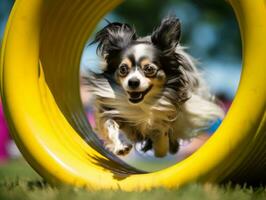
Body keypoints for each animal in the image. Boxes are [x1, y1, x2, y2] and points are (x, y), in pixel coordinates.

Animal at [84, 15, 224, 157]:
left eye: (149, 69)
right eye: (123, 69)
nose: (133, 82)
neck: (142, 105)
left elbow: (161, 136)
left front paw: (160, 143)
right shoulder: (110, 109)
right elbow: (110, 124)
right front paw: (120, 146)